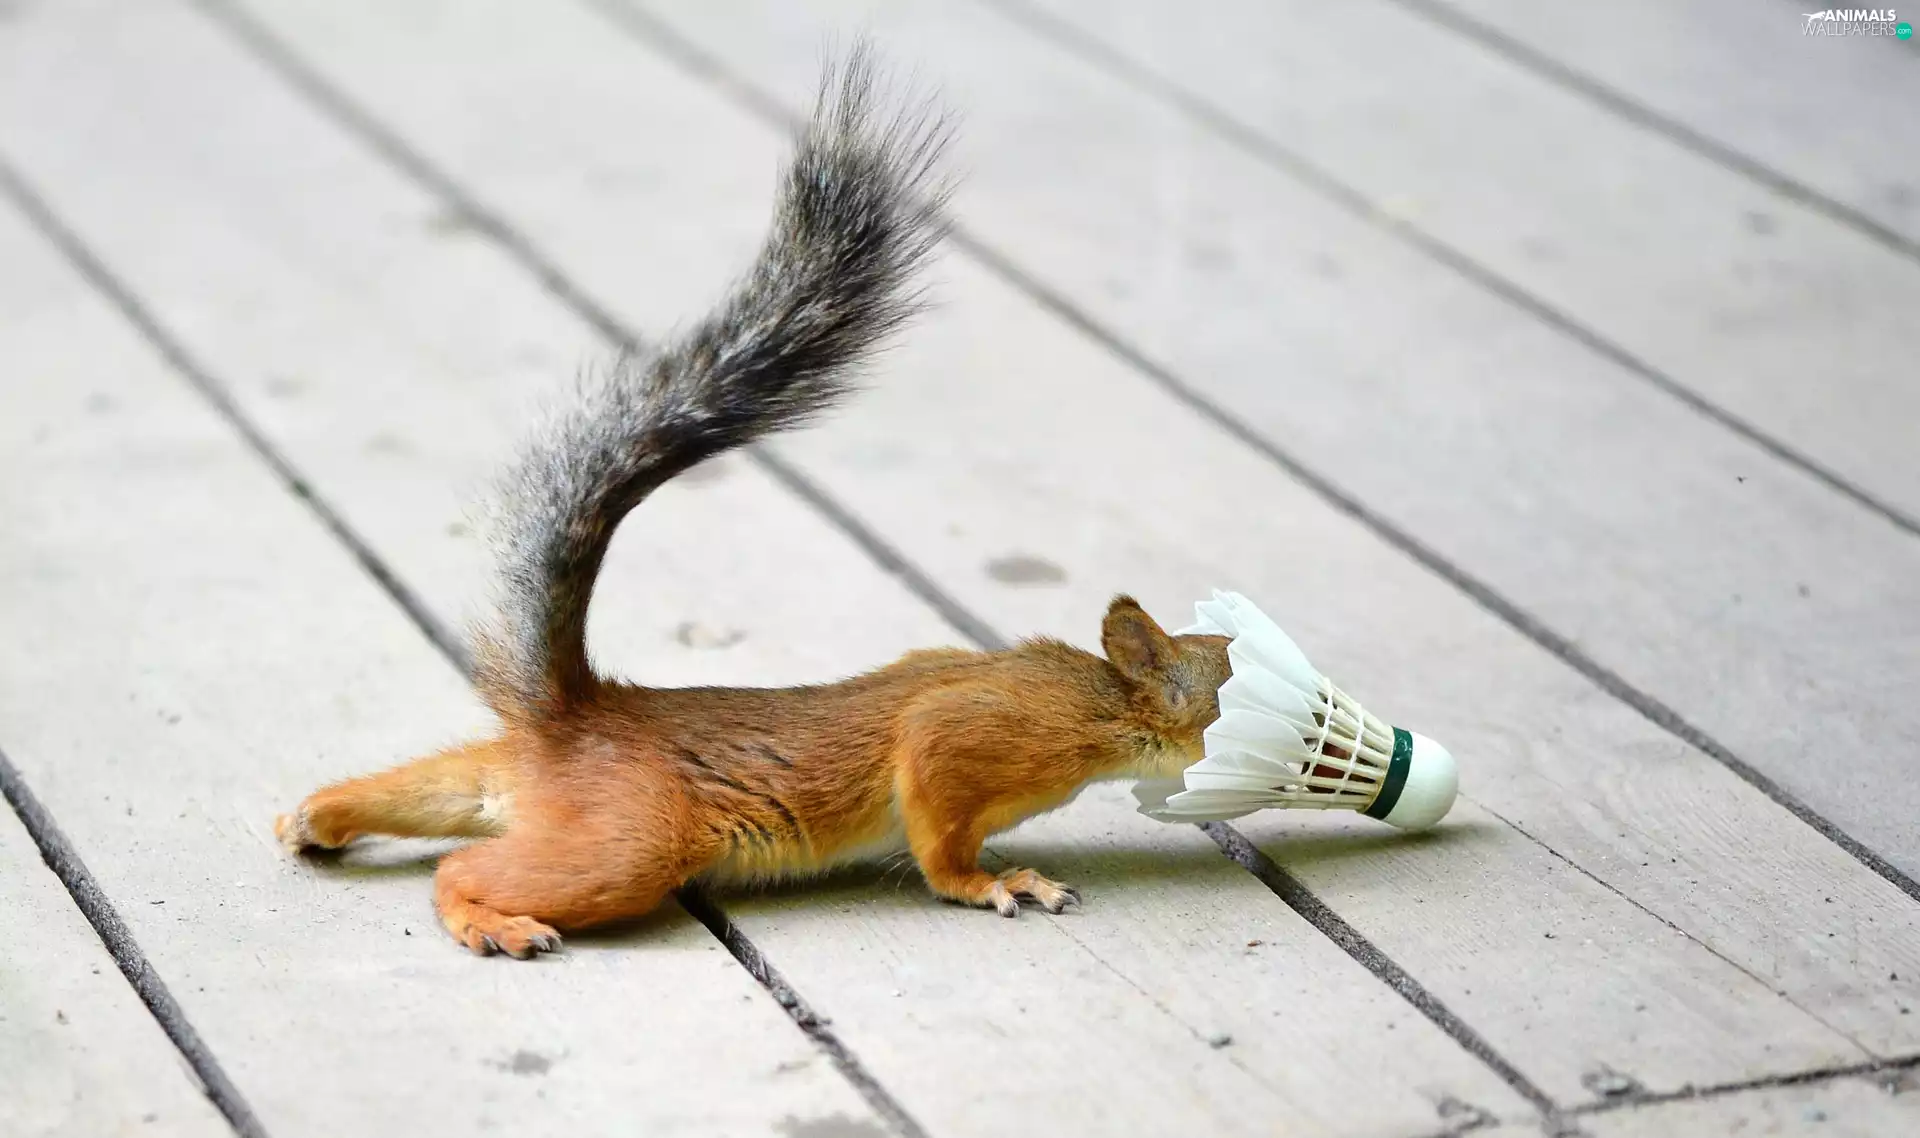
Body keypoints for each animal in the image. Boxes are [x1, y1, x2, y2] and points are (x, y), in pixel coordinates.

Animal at [274, 47, 1233, 959]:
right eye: (1233, 677)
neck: (1101, 701)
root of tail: (578, 715)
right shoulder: (974, 736)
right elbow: (937, 829)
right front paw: (996, 883)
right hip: (629, 841)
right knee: (464, 866)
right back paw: (488, 921)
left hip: (512, 785)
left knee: (436, 786)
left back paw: (314, 817)